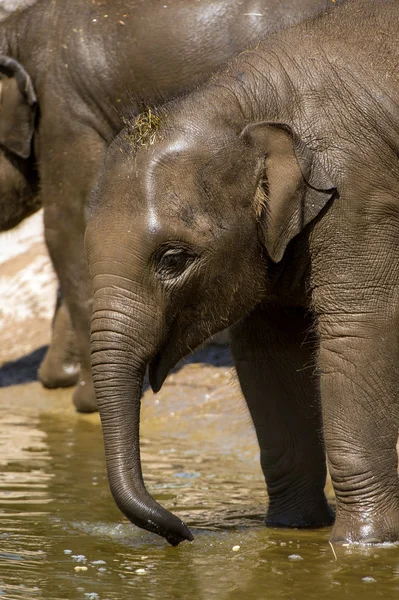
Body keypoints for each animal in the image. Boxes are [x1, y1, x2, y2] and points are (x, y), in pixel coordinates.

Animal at [87, 0, 399, 548]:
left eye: (173, 259)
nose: (182, 533)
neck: (247, 104)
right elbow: (266, 355)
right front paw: (291, 532)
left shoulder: (361, 196)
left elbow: (357, 334)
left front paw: (362, 546)